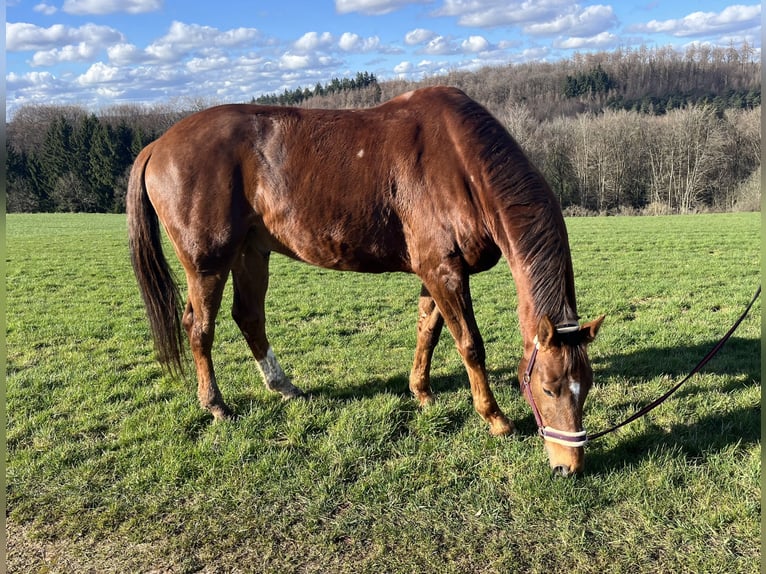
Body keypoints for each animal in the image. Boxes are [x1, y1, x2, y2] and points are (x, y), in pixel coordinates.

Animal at [127, 86, 604, 476]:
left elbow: (428, 331)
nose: (569, 466)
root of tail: (158, 144)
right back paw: (216, 405)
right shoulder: (444, 271)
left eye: (587, 385)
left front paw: (422, 393)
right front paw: (495, 418)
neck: (462, 162)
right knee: (200, 328)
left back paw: (284, 387)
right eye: (548, 387)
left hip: (251, 253)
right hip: (207, 264)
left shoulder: (433, 273)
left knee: (249, 318)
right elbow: (469, 344)